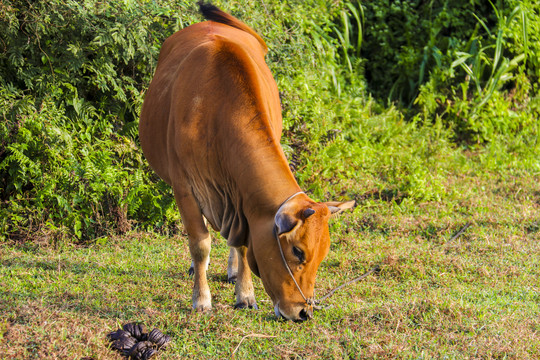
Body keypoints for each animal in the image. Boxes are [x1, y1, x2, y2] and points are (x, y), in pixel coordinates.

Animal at [138, 3, 354, 320]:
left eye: (323, 255)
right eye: (298, 251)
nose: (303, 312)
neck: (215, 112)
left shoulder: (241, 201)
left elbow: (240, 243)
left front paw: (245, 294)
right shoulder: (184, 187)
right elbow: (200, 243)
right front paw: (201, 299)